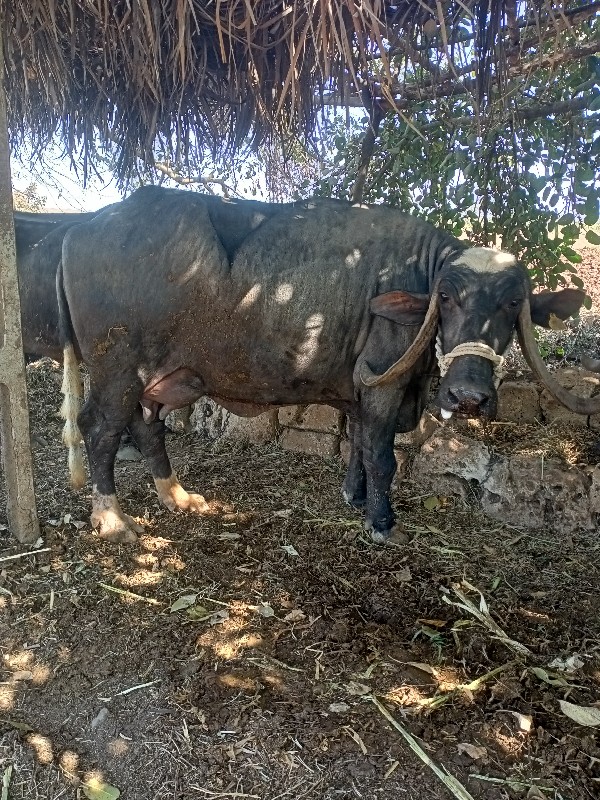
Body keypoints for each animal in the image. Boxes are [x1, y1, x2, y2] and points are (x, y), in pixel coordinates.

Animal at [57, 186, 600, 544]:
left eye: (513, 304)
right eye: (446, 298)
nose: (468, 397)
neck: (415, 272)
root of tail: (83, 229)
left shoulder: (359, 392)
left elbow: (358, 443)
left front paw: (354, 497)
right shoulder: (383, 383)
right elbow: (382, 454)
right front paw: (382, 522)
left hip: (159, 381)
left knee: (146, 427)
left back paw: (176, 495)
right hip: (117, 372)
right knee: (99, 428)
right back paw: (111, 519)